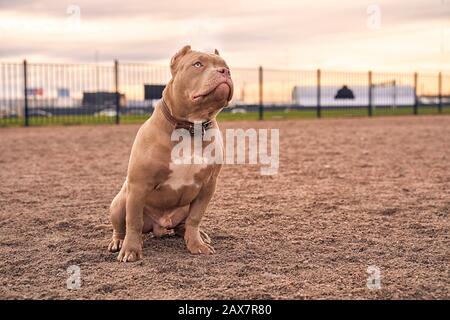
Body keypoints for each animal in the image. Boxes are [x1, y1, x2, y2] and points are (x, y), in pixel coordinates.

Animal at [107, 46, 234, 262]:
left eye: (226, 66)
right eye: (198, 64)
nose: (225, 72)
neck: (191, 127)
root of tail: (160, 226)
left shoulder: (208, 186)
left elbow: (195, 218)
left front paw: (196, 244)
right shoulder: (138, 185)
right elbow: (133, 221)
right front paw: (130, 250)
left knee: (184, 224)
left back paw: (199, 235)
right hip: (121, 200)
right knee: (122, 226)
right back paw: (118, 242)